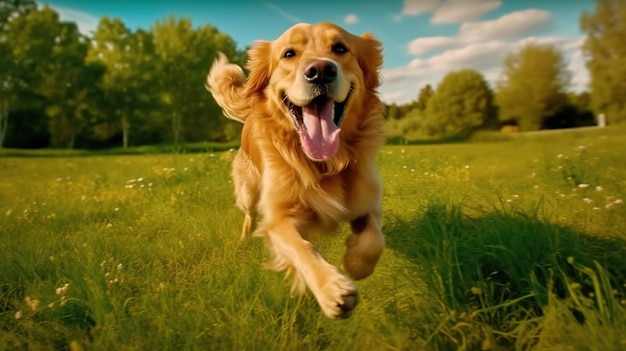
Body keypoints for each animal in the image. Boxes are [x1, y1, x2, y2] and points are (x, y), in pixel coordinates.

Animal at [205, 21, 386, 320]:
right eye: (289, 53)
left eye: (340, 48)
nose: (321, 71)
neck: (324, 163)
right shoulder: (278, 217)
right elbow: (302, 249)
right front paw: (333, 289)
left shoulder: (368, 201)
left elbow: (374, 239)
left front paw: (355, 263)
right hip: (249, 192)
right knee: (249, 216)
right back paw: (243, 240)